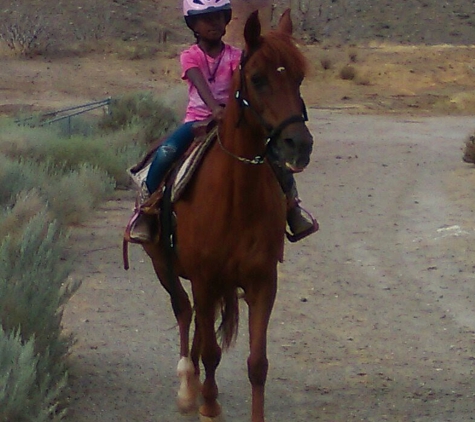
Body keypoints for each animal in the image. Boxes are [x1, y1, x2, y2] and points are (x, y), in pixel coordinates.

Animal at [139, 9, 314, 422]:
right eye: (258, 78)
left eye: (299, 76)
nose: (299, 145)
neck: (236, 199)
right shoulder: (204, 279)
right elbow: (210, 350)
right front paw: (207, 404)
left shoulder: (262, 282)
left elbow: (257, 363)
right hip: (163, 266)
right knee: (185, 313)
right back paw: (189, 388)